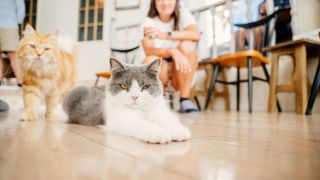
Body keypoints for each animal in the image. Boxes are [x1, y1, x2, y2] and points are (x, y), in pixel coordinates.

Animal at [63, 58, 191, 144]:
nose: (134, 97)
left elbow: (168, 120)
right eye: (123, 86)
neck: (142, 111)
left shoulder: (160, 113)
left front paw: (178, 131)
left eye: (145, 86)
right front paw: (158, 133)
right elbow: (142, 124)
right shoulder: (121, 119)